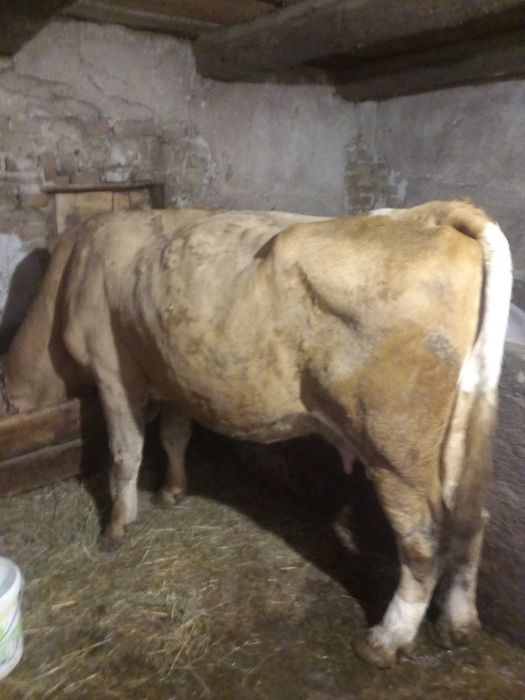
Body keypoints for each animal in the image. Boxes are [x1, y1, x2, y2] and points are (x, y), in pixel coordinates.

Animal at [0, 200, 512, 667]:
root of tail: (429, 214)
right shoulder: (173, 373)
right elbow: (174, 436)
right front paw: (172, 490)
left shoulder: (113, 372)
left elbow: (126, 453)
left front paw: (117, 525)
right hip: (462, 437)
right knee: (471, 519)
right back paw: (458, 622)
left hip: (395, 449)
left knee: (422, 542)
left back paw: (387, 639)